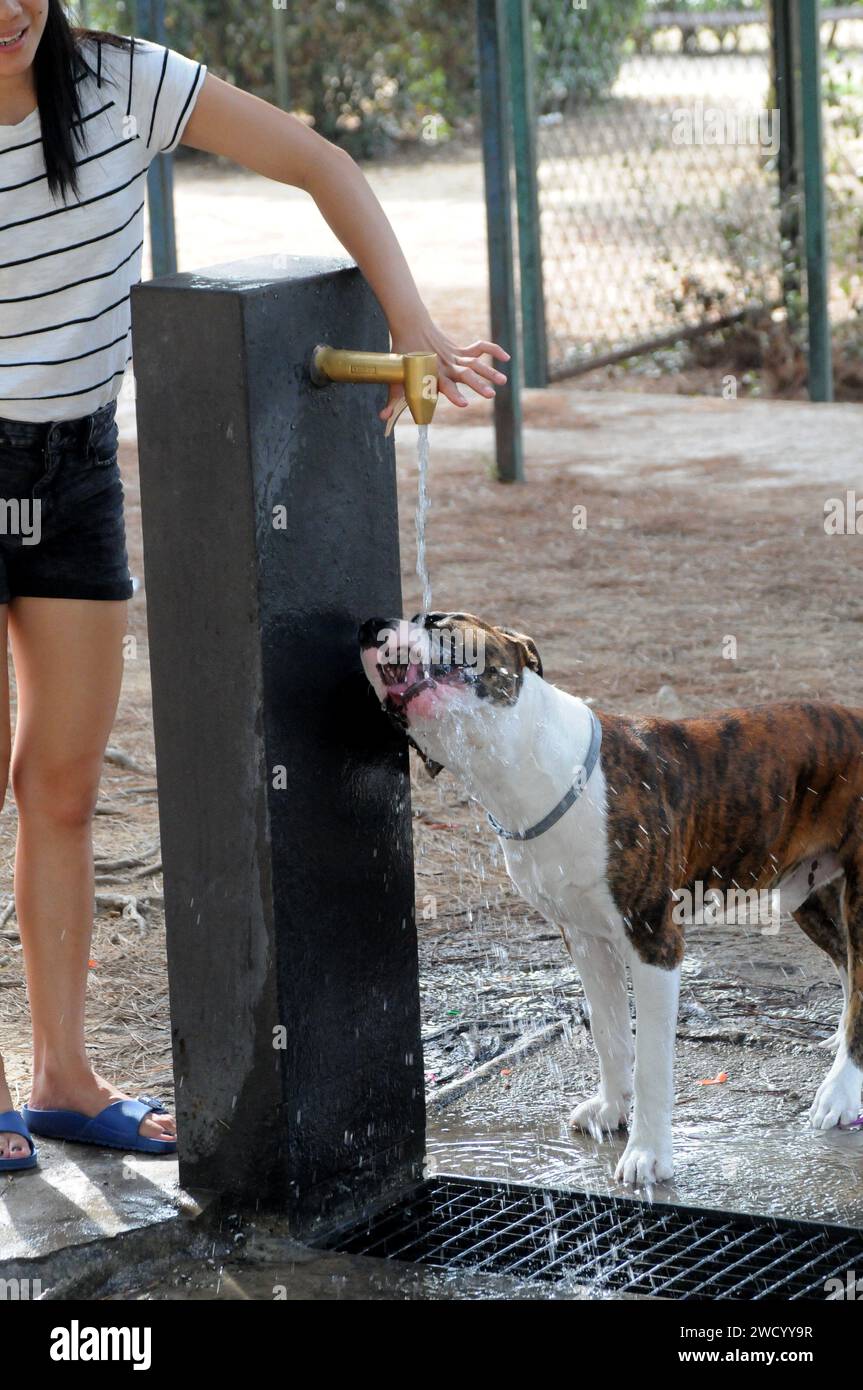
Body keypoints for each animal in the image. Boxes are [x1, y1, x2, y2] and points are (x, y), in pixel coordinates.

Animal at [355, 614, 861, 1189]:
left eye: (438, 622)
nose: (370, 626)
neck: (525, 766)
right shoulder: (585, 938)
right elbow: (610, 1034)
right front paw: (611, 1111)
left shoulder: (654, 942)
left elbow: (652, 1062)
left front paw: (648, 1154)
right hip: (809, 895)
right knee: (848, 968)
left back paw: (840, 1093)